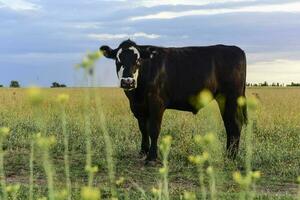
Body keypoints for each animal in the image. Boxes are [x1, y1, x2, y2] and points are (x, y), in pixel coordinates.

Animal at [99, 39, 247, 163]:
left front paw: (152, 157)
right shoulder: (138, 107)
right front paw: (143, 151)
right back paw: (228, 155)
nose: (127, 81)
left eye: (138, 60)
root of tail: (236, 49)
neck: (137, 93)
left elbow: (153, 129)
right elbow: (143, 129)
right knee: (229, 124)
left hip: (231, 98)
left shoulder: (157, 103)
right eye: (118, 60)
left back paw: (230, 157)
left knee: (234, 124)